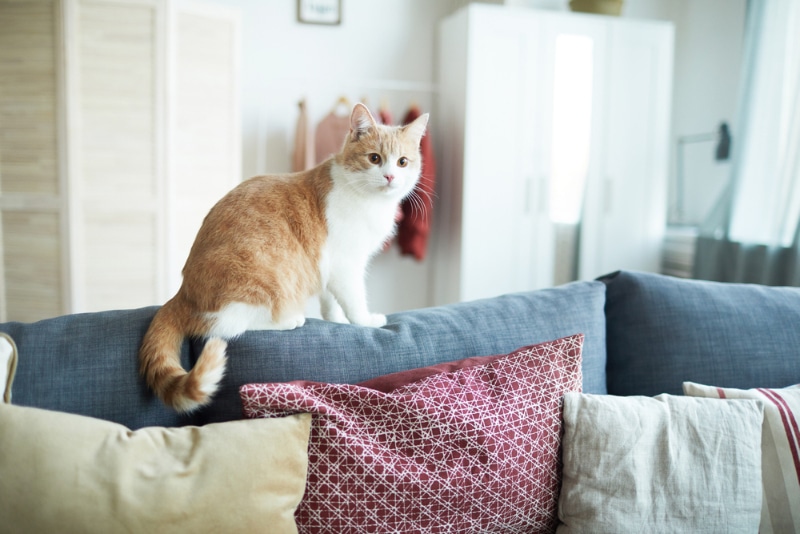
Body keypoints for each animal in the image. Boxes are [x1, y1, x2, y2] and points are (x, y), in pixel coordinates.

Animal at [139, 104, 424, 414]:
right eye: (374, 158)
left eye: (402, 162)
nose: (390, 177)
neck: (368, 200)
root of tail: (182, 294)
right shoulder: (345, 265)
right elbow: (354, 300)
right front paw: (366, 322)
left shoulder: (328, 267)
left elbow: (330, 301)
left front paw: (336, 320)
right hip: (264, 280)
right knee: (228, 327)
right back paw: (289, 320)